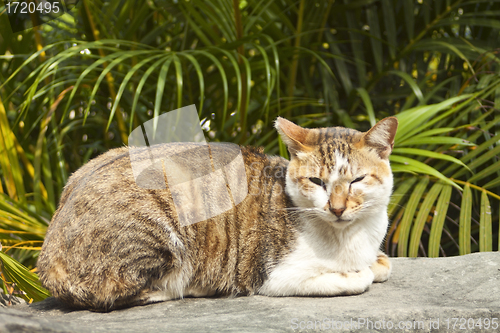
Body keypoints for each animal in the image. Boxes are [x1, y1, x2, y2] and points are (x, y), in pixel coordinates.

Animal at [37, 115, 398, 310]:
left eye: (357, 180)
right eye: (317, 182)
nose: (336, 208)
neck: (350, 236)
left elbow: (382, 264)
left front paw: (375, 263)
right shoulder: (272, 275)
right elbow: (355, 278)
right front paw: (356, 273)